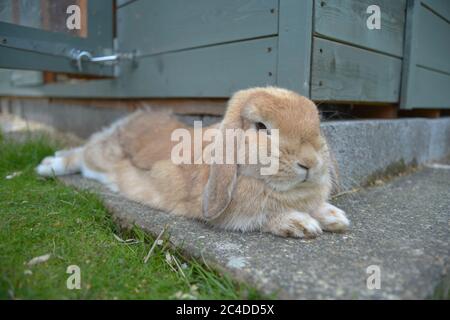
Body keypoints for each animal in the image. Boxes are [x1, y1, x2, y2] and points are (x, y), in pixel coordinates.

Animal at [37, 87, 350, 238]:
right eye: (261, 127)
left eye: (317, 124)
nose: (309, 162)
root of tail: (129, 119)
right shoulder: (232, 214)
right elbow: (263, 217)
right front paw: (302, 224)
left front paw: (334, 217)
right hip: (102, 157)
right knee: (80, 154)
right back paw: (48, 166)